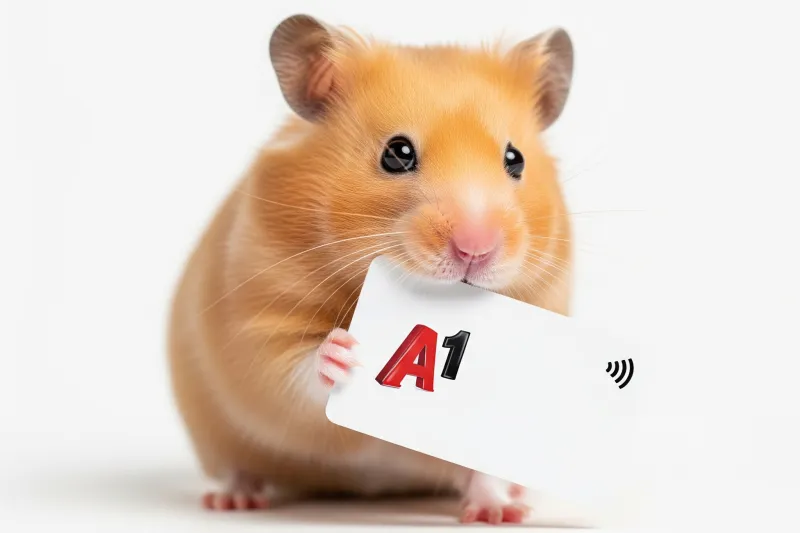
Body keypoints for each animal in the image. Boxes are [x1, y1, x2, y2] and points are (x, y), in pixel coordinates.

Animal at [167, 13, 574, 525]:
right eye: (397, 153)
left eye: (514, 159)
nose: (475, 249)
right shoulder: (258, 321)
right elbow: (294, 374)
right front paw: (344, 351)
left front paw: (499, 511)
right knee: (240, 466)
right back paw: (234, 499)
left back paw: (506, 507)